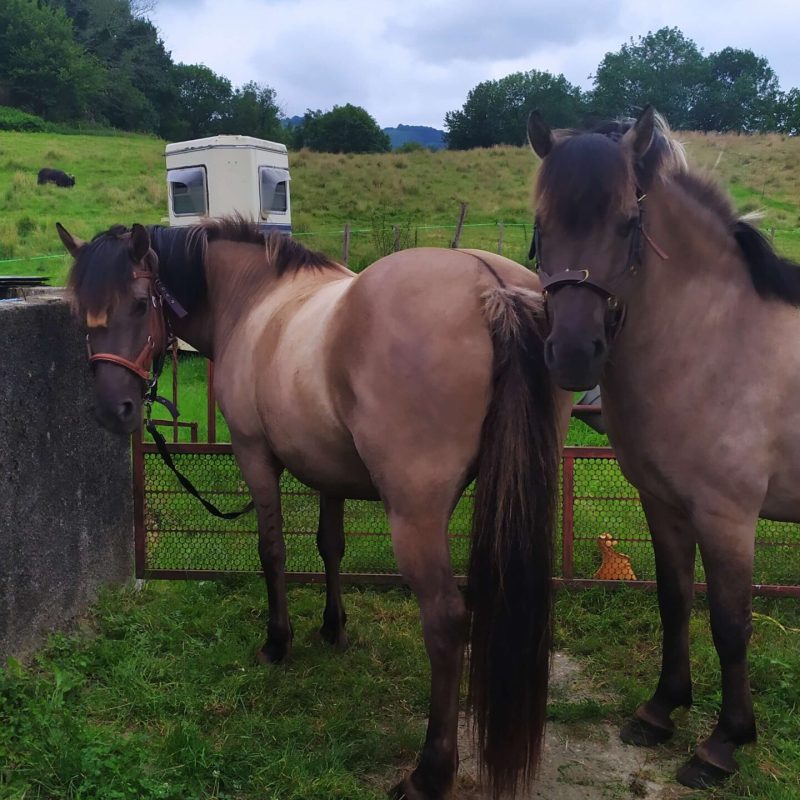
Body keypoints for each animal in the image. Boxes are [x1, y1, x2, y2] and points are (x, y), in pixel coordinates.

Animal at [56, 219, 572, 800]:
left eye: (142, 303)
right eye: (81, 313)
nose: (112, 409)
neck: (256, 298)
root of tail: (491, 286)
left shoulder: (254, 456)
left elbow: (273, 551)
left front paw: (277, 643)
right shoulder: (330, 470)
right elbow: (331, 547)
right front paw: (333, 629)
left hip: (415, 515)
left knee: (444, 622)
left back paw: (429, 773)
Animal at [526, 105, 800, 789]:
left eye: (629, 223)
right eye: (541, 224)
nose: (574, 355)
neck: (717, 342)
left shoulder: (729, 519)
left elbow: (731, 624)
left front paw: (722, 745)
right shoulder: (664, 504)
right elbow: (674, 602)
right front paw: (660, 711)